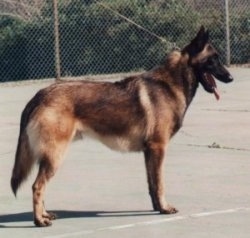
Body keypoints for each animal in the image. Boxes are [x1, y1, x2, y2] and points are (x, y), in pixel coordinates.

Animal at [10, 26, 232, 227]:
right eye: (213, 59)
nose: (231, 77)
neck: (170, 84)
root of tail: (40, 95)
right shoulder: (158, 148)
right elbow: (160, 183)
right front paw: (165, 208)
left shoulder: (149, 152)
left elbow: (152, 184)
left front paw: (157, 208)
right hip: (55, 156)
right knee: (37, 186)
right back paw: (39, 220)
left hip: (51, 158)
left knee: (41, 187)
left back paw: (45, 214)